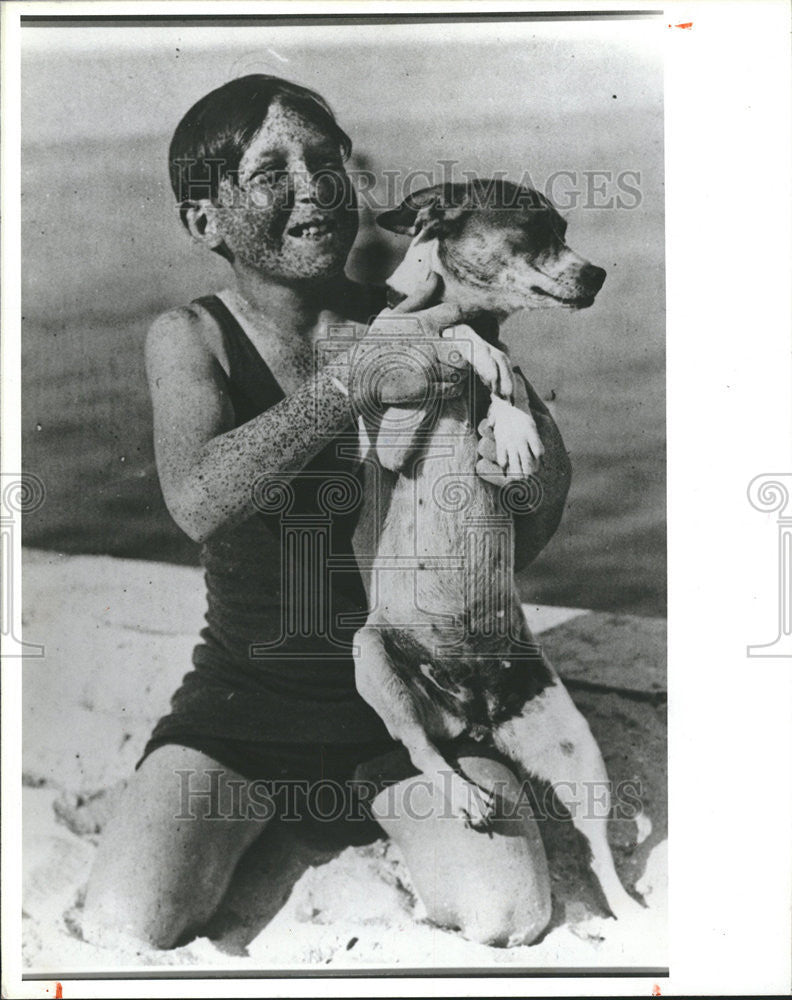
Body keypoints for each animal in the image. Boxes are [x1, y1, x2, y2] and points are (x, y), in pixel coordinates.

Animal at [350, 180, 640, 920]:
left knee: (598, 847)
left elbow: (511, 397)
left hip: (574, 749)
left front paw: (510, 423)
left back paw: (631, 914)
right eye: (536, 229)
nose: (600, 274)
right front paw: (479, 354)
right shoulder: (388, 437)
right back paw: (466, 793)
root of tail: (474, 717)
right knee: (423, 751)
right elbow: (457, 338)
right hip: (373, 656)